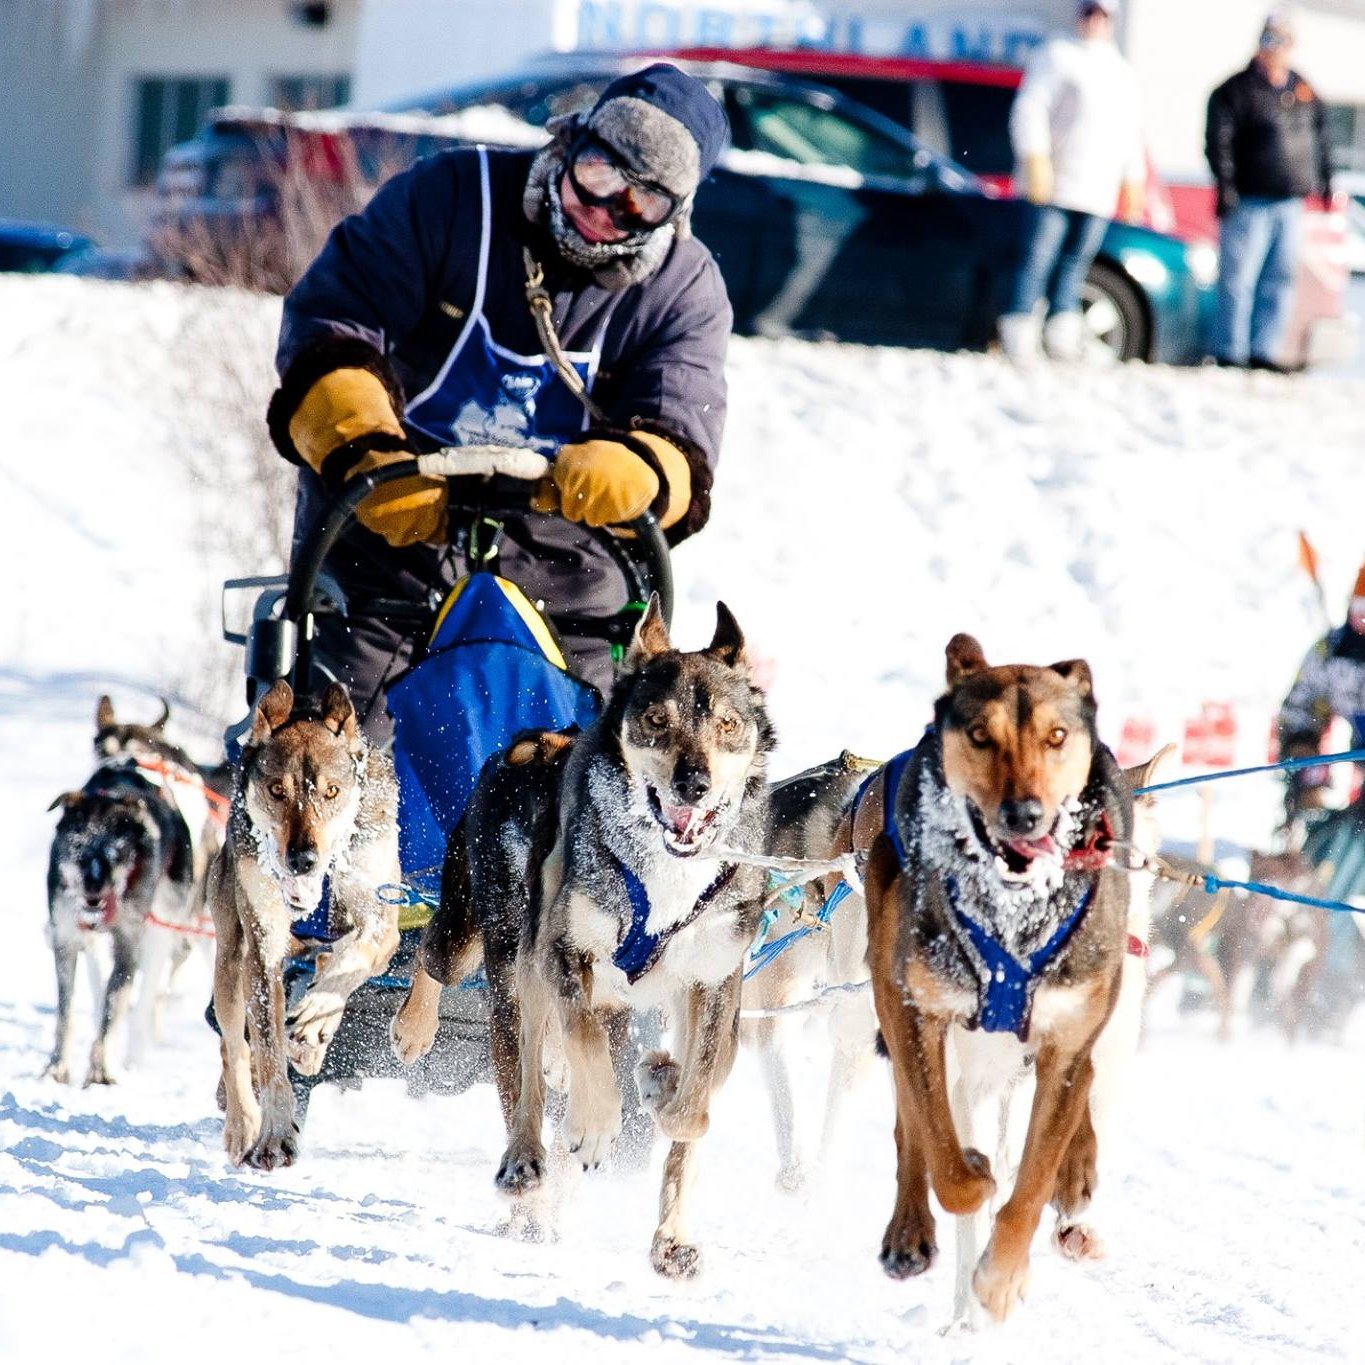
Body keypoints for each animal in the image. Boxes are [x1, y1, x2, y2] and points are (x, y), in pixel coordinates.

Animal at [204, 682, 398, 1173]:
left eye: (331, 791)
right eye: (277, 790)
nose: (303, 858)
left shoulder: (383, 919)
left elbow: (352, 955)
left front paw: (317, 1015)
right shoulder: (263, 950)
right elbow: (268, 1055)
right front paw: (273, 1136)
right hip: (230, 961)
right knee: (234, 1047)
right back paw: (242, 1125)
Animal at [485, 600, 775, 1277]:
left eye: (727, 724)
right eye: (655, 720)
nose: (694, 783)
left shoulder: (714, 981)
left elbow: (694, 1108)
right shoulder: (568, 954)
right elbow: (585, 1042)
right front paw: (594, 1124)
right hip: (524, 969)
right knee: (530, 1080)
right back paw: (527, 1165)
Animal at [868, 636, 1135, 1321]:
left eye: (1057, 735)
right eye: (981, 736)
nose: (1024, 814)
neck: (1012, 910)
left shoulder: (1067, 1037)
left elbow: (1034, 1179)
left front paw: (1004, 1272)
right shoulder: (914, 1008)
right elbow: (944, 1159)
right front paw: (973, 1171)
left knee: (1079, 1100)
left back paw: (1077, 1173)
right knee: (909, 1126)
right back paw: (909, 1230)